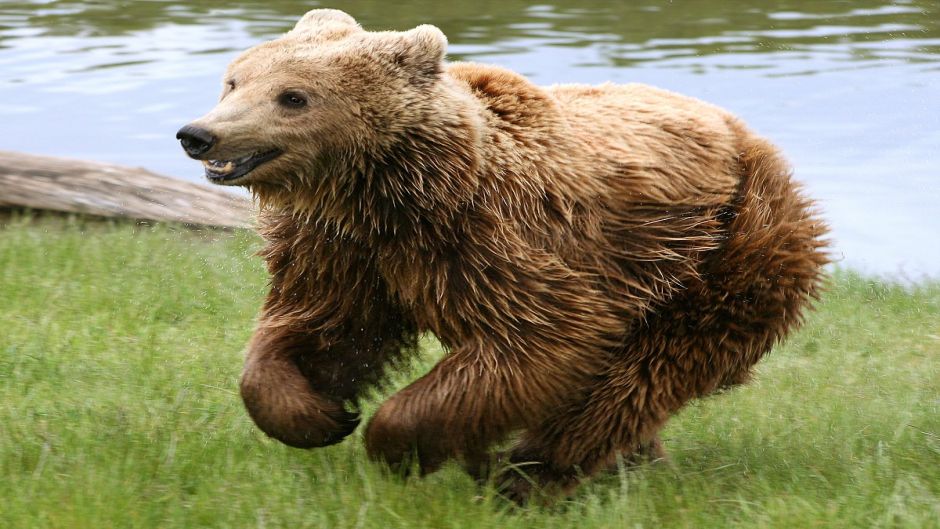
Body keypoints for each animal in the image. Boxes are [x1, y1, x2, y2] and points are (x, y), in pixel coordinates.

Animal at [176, 9, 828, 500]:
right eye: (234, 81)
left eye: (293, 96)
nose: (198, 134)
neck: (389, 193)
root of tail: (750, 138)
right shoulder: (343, 251)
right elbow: (321, 328)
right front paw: (318, 415)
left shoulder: (497, 240)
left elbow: (541, 342)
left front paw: (393, 444)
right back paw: (626, 465)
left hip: (723, 250)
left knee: (643, 375)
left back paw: (529, 475)